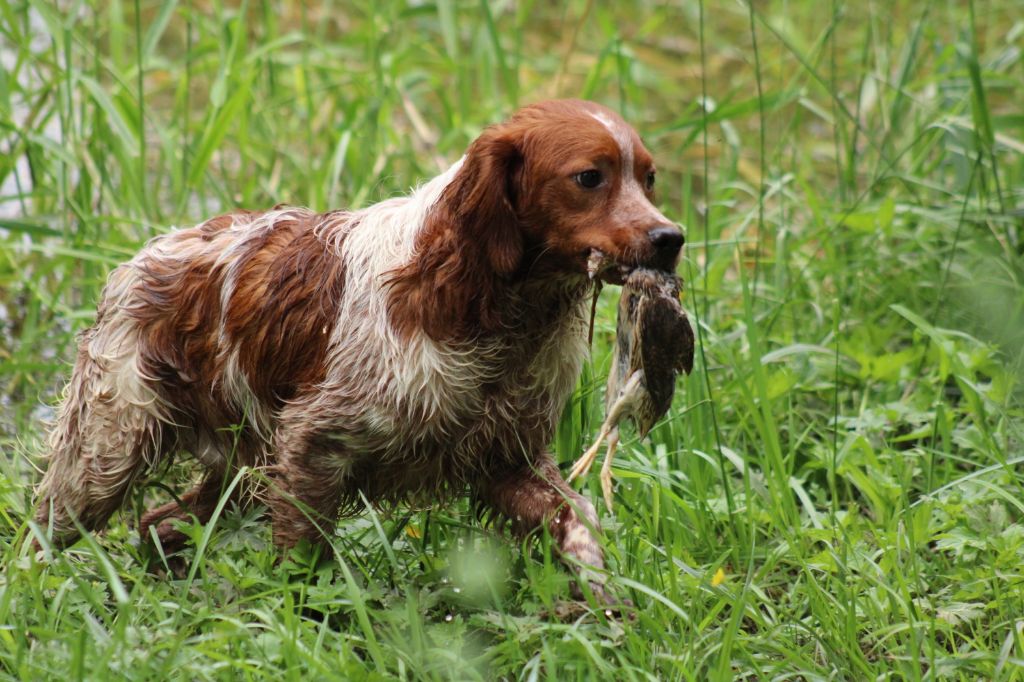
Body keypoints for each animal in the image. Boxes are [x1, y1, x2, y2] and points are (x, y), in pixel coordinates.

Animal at [32, 99, 684, 602]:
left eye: (649, 177)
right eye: (589, 177)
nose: (670, 237)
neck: (489, 309)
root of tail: (146, 254)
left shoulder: (508, 459)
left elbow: (577, 520)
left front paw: (604, 601)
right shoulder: (313, 446)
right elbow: (302, 564)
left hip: (242, 471)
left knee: (159, 522)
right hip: (106, 452)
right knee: (46, 531)